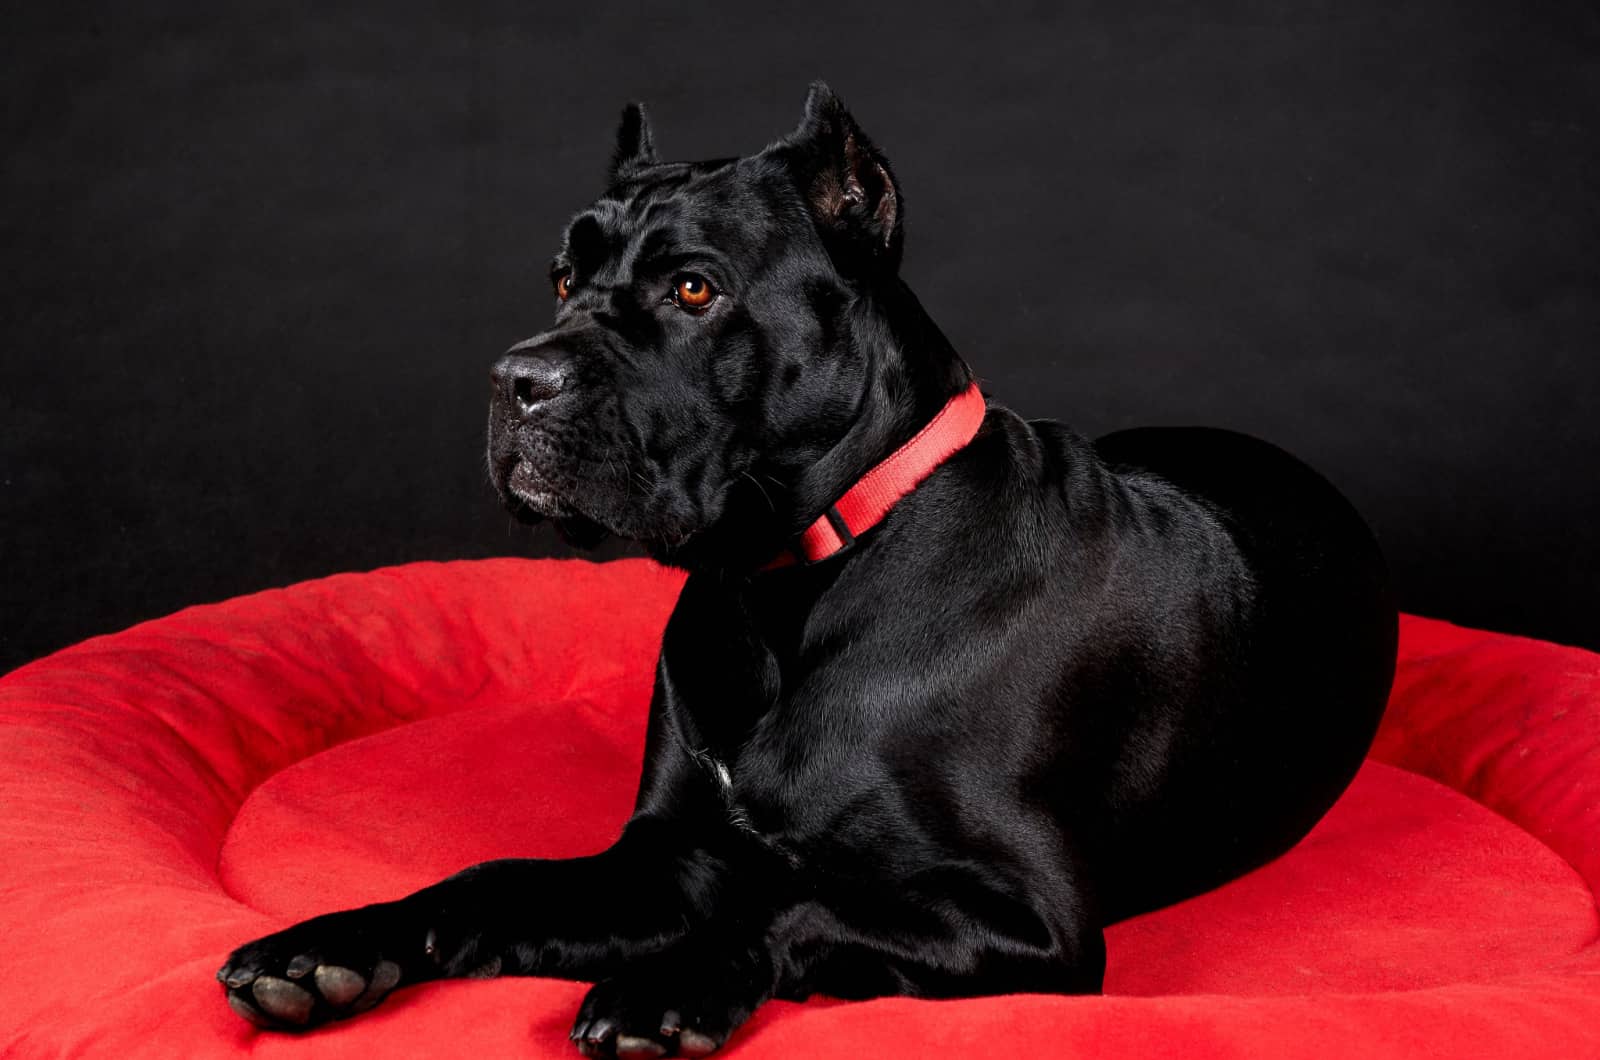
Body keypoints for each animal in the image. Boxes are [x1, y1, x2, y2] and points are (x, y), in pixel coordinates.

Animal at [219, 80, 1395, 1056]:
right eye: (562, 276)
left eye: (695, 289)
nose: (516, 381)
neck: (780, 585)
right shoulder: (666, 857)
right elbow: (497, 878)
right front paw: (333, 945)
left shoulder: (1032, 921)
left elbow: (795, 905)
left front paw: (667, 983)